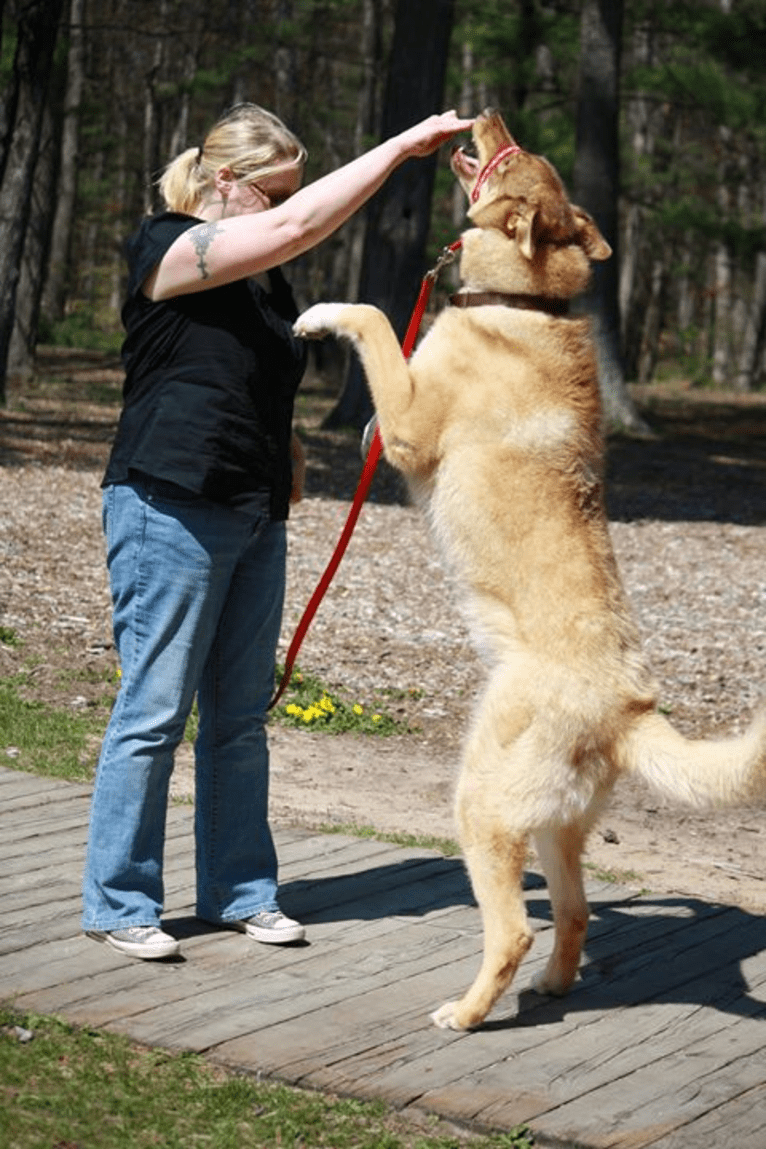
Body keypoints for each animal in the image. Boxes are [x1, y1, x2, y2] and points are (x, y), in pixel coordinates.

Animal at [293, 109, 766, 1034]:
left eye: (513, 156)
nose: (479, 115)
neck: (525, 302)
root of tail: (628, 709)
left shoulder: (407, 427)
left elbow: (373, 318)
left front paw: (321, 312)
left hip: (481, 805)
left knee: (512, 928)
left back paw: (468, 1011)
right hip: (557, 827)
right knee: (575, 912)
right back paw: (552, 985)